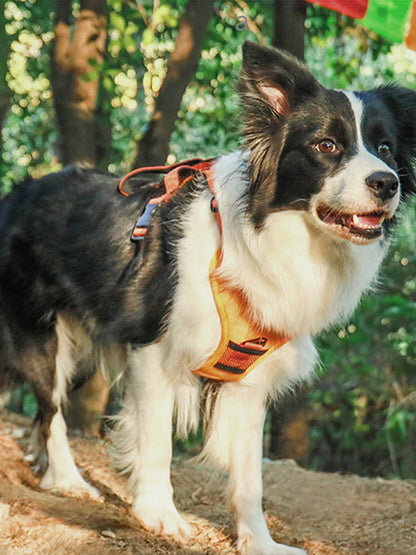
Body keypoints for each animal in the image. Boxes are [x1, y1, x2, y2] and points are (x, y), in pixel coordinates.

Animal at [0, 41, 416, 552]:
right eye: (326, 146)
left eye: (385, 148)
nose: (386, 182)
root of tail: (19, 192)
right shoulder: (152, 352)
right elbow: (157, 443)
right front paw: (159, 516)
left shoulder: (249, 379)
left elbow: (250, 478)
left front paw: (259, 542)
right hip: (41, 335)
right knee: (51, 407)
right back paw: (67, 479)